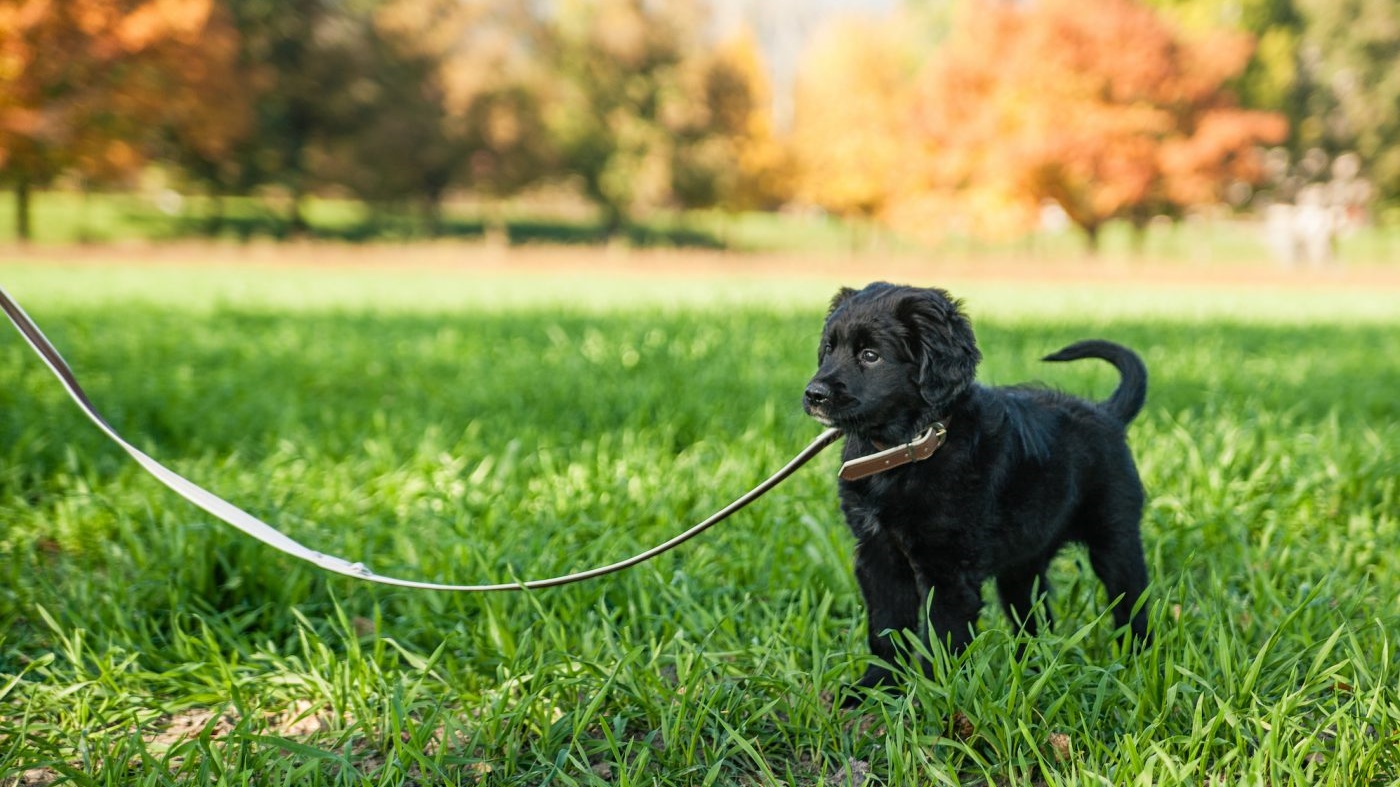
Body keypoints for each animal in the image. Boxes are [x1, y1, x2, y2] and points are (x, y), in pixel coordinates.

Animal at [806, 278, 1153, 694]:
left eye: (871, 355)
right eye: (829, 349)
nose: (814, 395)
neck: (906, 449)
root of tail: (1107, 413)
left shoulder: (948, 568)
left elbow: (941, 637)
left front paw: (932, 695)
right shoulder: (878, 554)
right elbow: (886, 627)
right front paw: (876, 687)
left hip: (1115, 538)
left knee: (1132, 602)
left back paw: (1137, 661)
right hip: (1024, 562)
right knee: (1034, 617)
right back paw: (1031, 670)